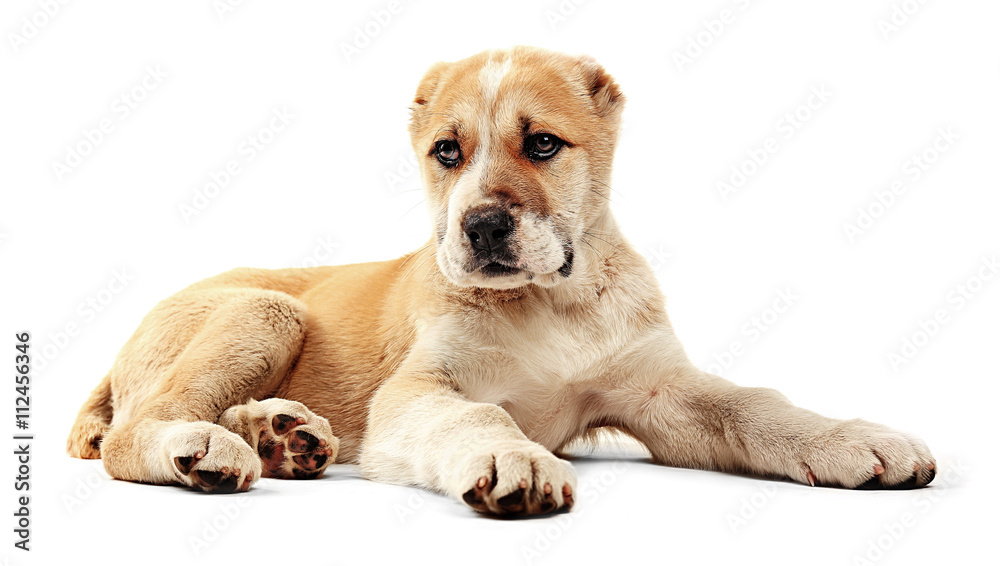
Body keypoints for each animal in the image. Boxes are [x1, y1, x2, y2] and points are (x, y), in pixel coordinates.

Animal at [66, 46, 932, 516]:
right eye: (447, 153)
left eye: (543, 144)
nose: (481, 227)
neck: (555, 303)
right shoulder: (422, 390)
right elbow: (475, 417)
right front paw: (513, 460)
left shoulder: (662, 392)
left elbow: (756, 405)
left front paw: (854, 439)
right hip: (265, 310)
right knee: (135, 430)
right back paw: (210, 449)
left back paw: (284, 436)